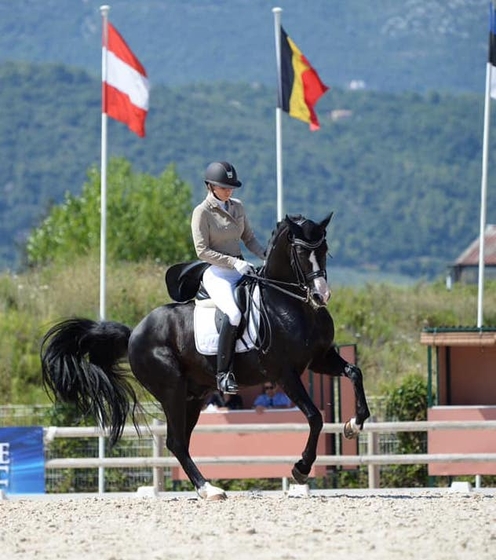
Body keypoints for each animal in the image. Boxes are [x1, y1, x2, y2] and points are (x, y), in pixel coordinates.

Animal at [40, 213, 370, 498]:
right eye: (300, 252)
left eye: (324, 249)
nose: (320, 296)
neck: (291, 304)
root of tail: (134, 333)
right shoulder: (285, 374)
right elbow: (315, 417)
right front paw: (301, 468)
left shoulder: (320, 359)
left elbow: (354, 373)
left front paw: (354, 424)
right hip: (171, 390)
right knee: (176, 441)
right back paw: (209, 489)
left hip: (194, 395)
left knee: (181, 442)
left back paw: (205, 487)